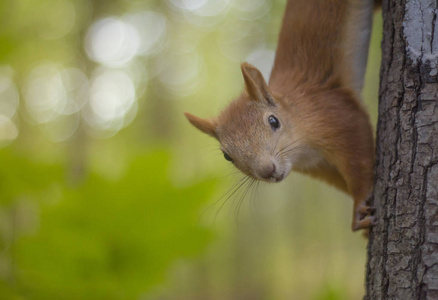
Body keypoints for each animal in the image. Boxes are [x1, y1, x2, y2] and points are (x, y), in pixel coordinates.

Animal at [183, 0, 378, 232]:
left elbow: (361, 159)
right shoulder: (318, 166)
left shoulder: (332, 112)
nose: (267, 170)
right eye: (227, 156)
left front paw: (359, 208)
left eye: (274, 121)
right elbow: (342, 181)